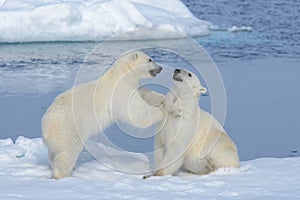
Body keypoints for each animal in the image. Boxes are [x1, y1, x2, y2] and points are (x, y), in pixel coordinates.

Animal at [42, 50, 164, 179]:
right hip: (68, 129)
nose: (160, 68)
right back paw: (63, 174)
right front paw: (162, 111)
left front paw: (162, 98)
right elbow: (135, 111)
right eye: (150, 59)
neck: (120, 75)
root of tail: (46, 125)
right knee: (67, 152)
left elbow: (144, 93)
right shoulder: (120, 92)